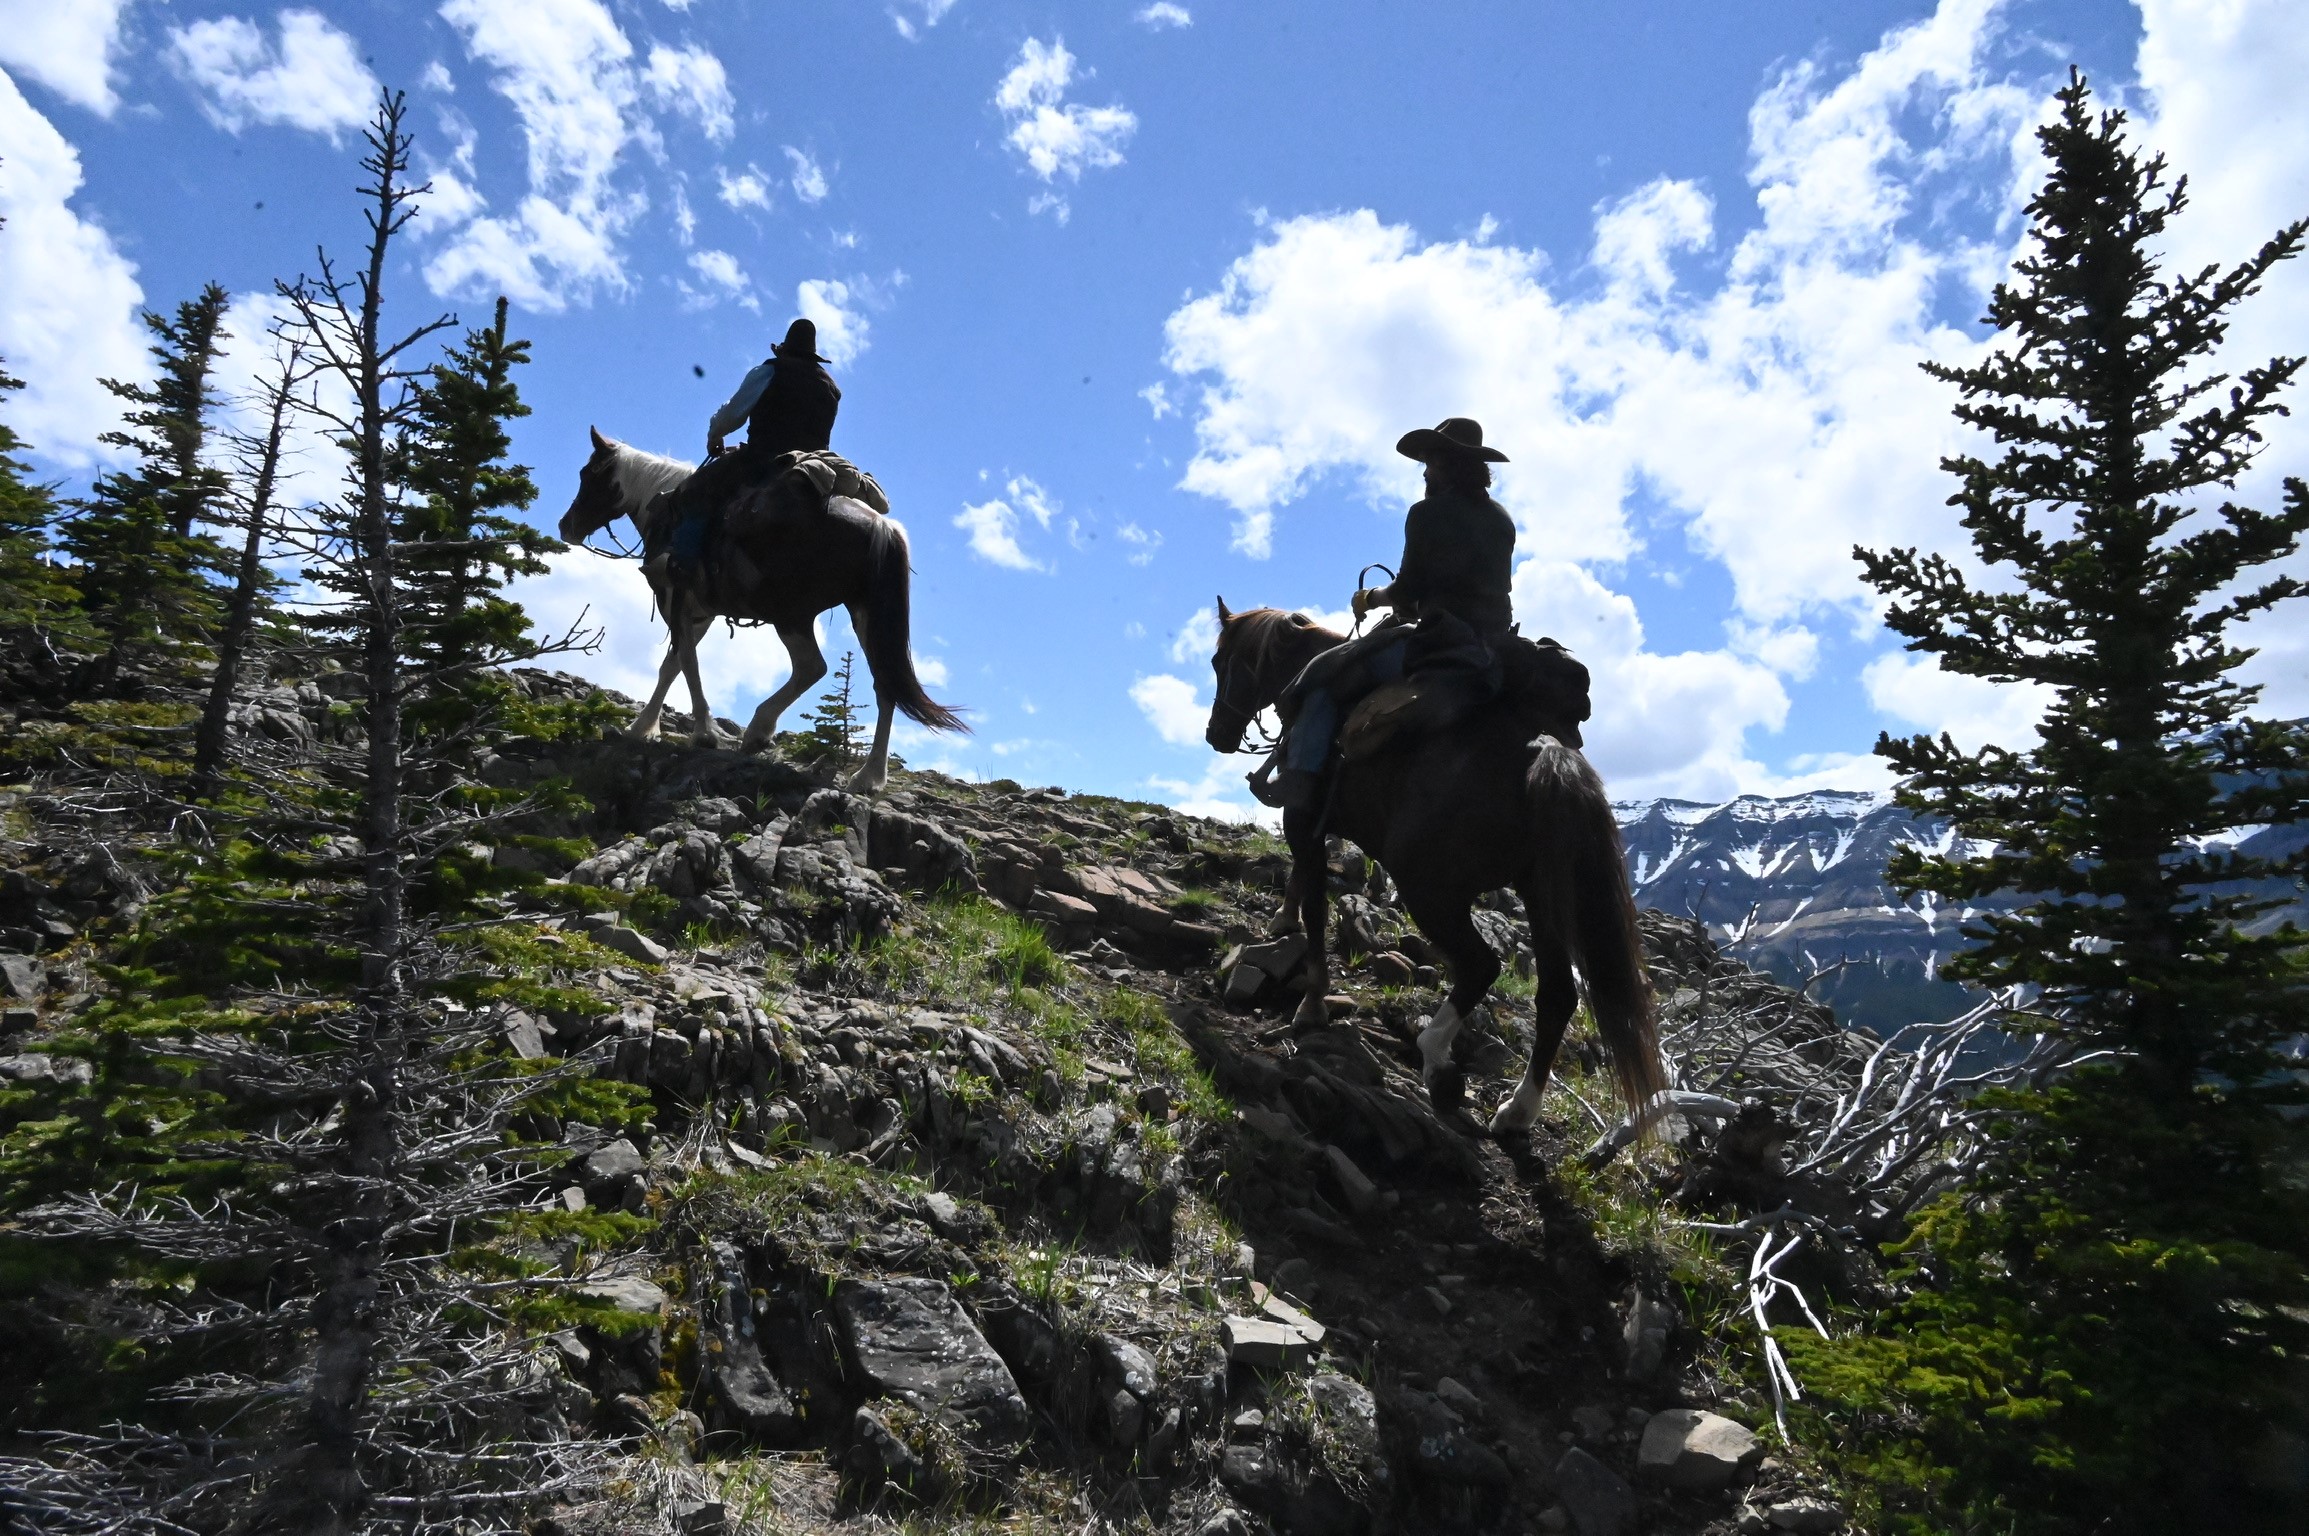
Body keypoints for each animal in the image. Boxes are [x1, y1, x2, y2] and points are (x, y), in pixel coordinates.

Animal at [558, 431, 965, 789]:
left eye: (587, 474)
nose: (566, 526)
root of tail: (882, 526)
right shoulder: (701, 611)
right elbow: (674, 665)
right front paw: (649, 727)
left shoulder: (674, 596)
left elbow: (684, 662)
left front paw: (695, 732)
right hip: (866, 615)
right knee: (885, 686)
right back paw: (870, 777)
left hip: (790, 614)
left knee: (812, 667)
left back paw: (759, 731)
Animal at [1200, 600, 1671, 1127]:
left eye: (1220, 662)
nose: (1217, 734)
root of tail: (1543, 754)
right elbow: (1303, 883)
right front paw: (1284, 924)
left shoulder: (1302, 818)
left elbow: (1317, 908)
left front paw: (1312, 1001)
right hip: (1543, 896)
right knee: (1557, 995)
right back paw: (1517, 1111)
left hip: (1430, 892)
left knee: (1481, 966)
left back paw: (1438, 1064)